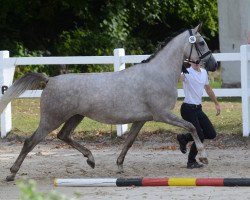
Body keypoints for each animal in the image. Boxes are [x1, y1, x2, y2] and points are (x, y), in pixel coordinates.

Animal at [0, 23, 217, 181]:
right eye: (202, 43)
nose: (214, 65)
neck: (158, 73)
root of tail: (49, 80)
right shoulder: (163, 115)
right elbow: (192, 127)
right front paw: (204, 157)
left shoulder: (141, 119)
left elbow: (129, 142)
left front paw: (119, 166)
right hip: (51, 119)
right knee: (30, 142)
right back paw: (12, 173)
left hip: (75, 116)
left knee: (63, 135)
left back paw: (91, 160)